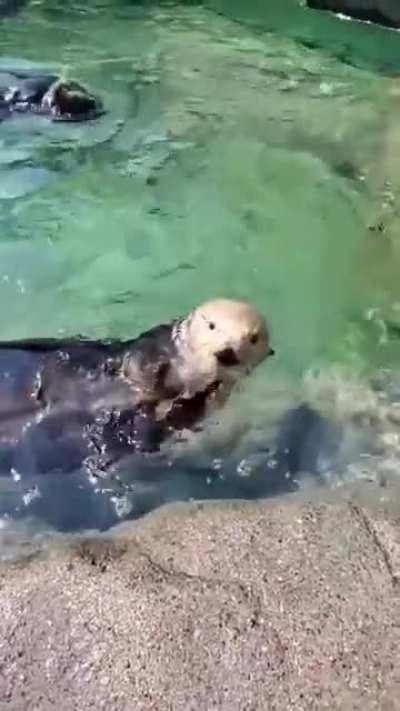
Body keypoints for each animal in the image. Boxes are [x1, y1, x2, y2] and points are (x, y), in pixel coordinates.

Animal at [0, 299, 274, 478]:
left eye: (253, 338)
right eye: (212, 325)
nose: (227, 352)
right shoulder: (151, 346)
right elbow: (139, 360)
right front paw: (153, 374)